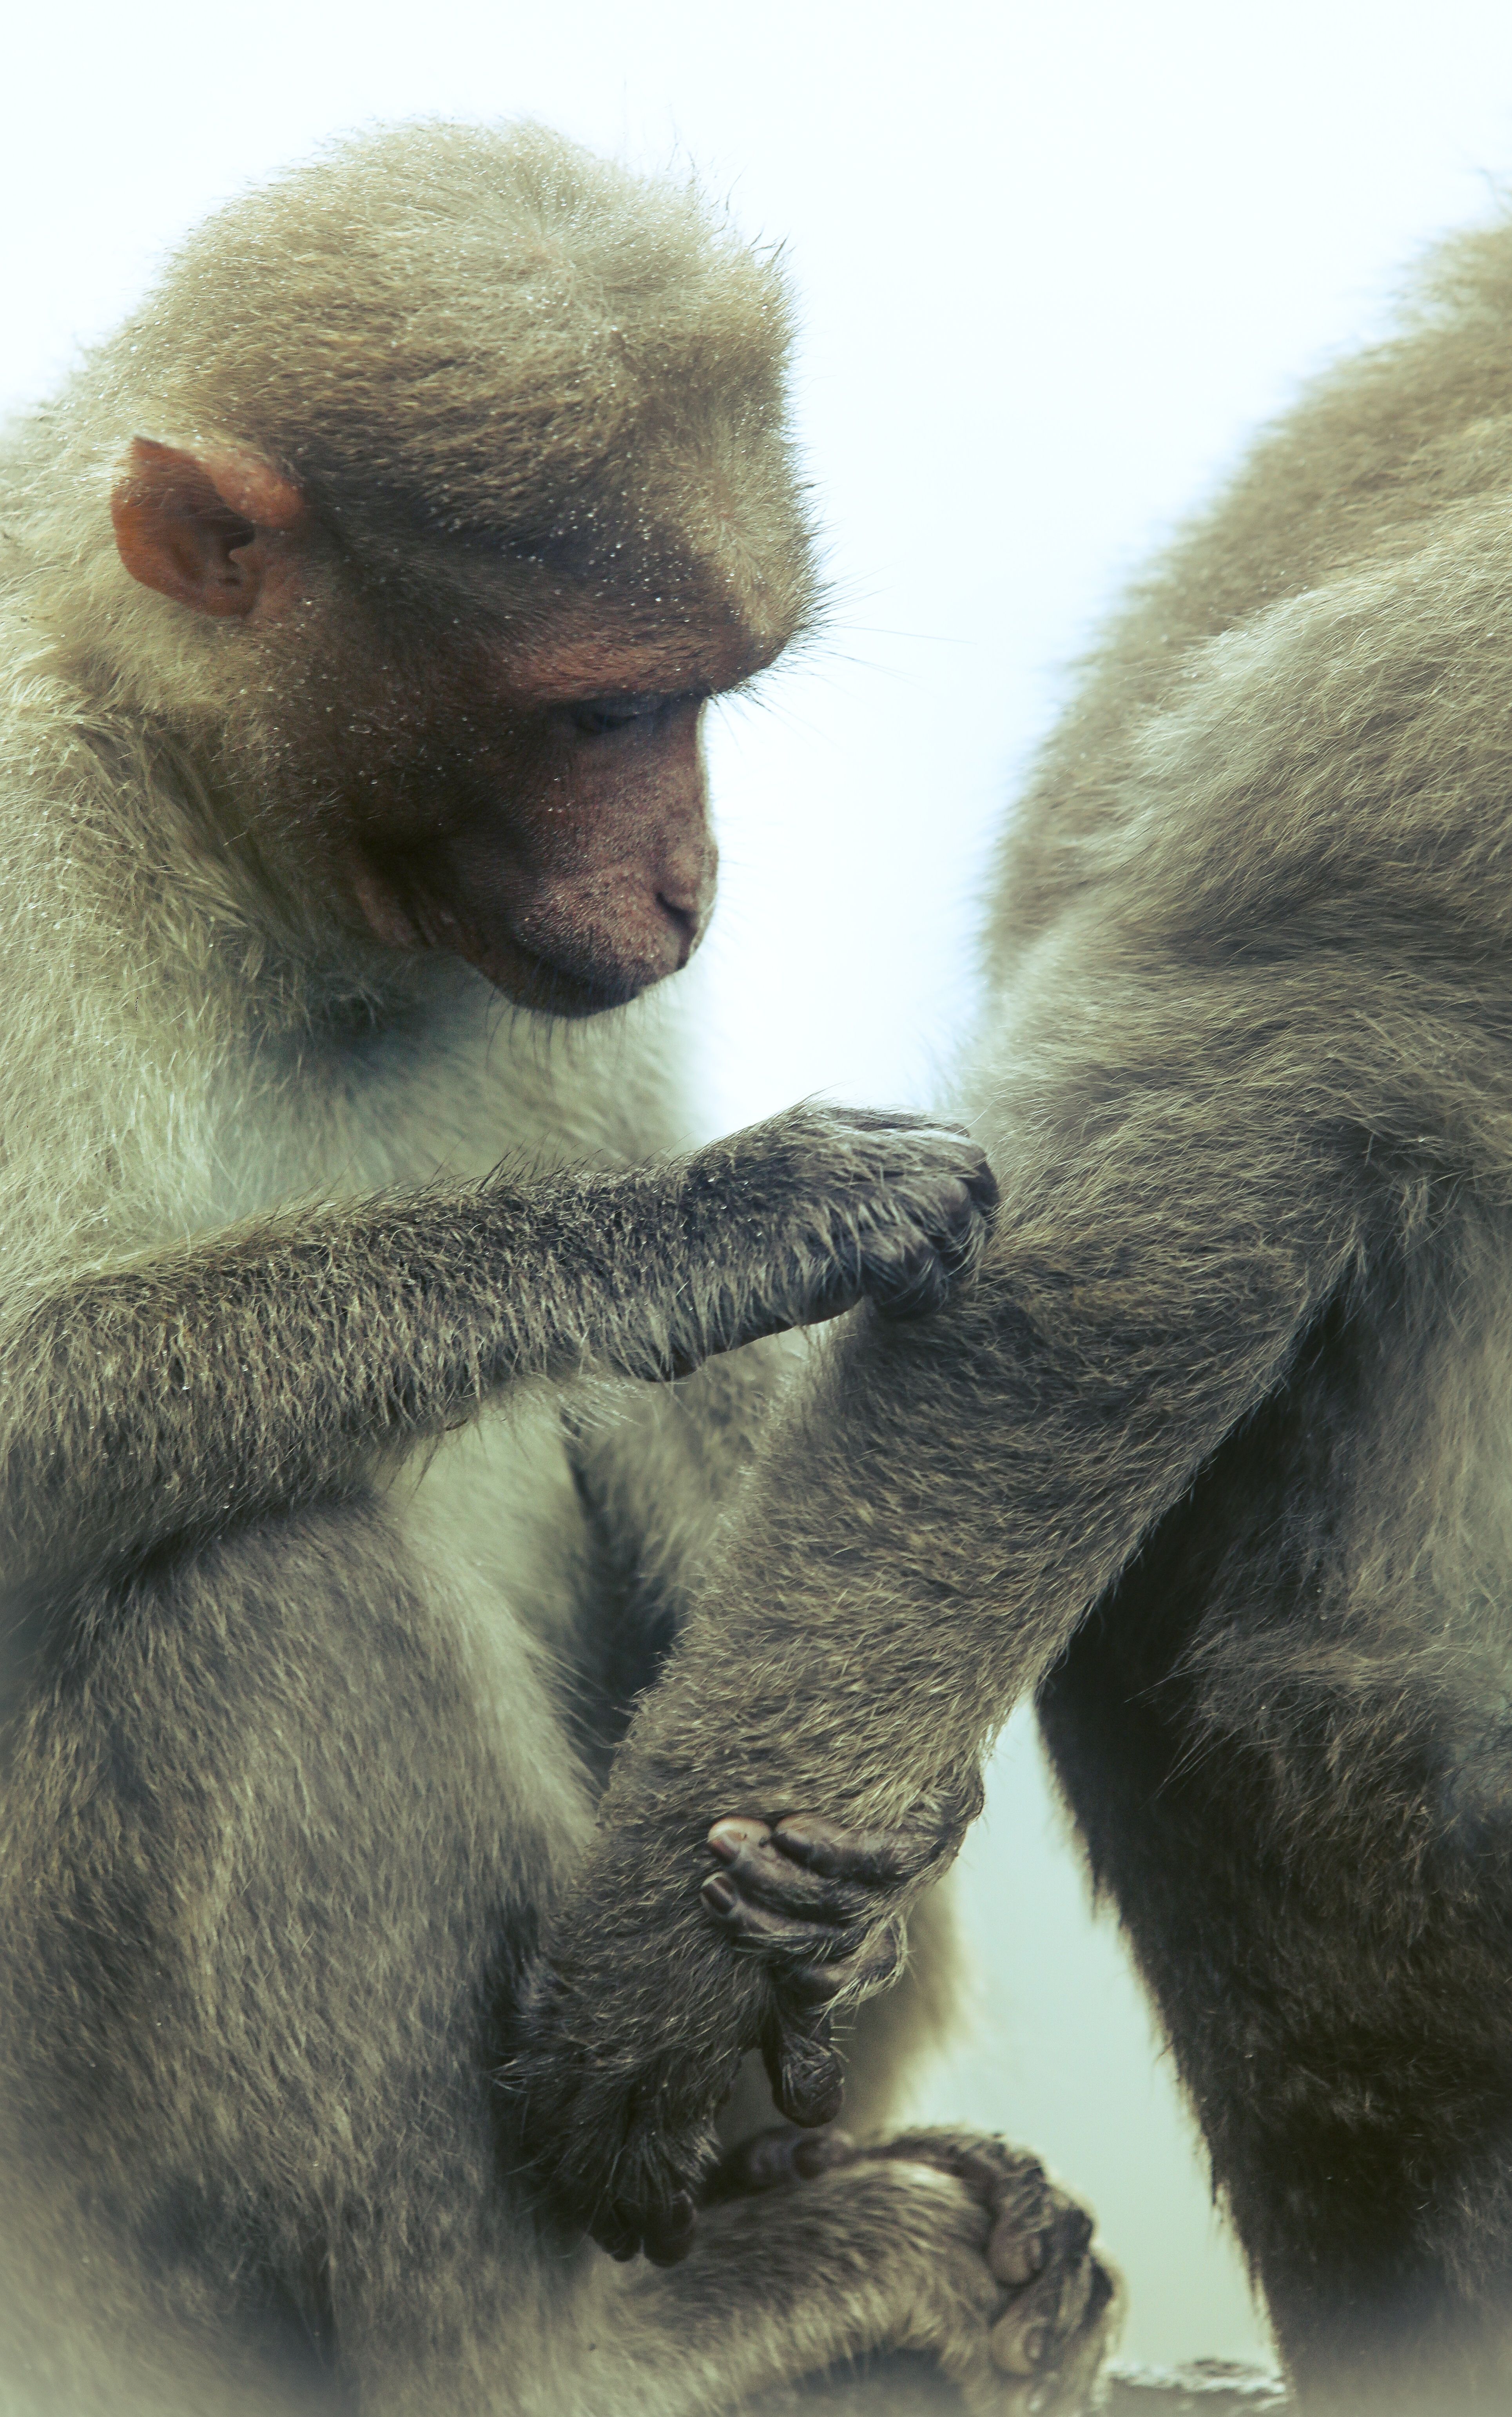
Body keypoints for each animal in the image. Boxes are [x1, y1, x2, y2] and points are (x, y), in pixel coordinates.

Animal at [0, 119, 1122, 2417]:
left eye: (709, 696)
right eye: (603, 710)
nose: (692, 882)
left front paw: (844, 1906)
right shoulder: (20, 820)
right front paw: (725, 1224)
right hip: (98, 2241)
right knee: (260, 1567)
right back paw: (558, 2342)